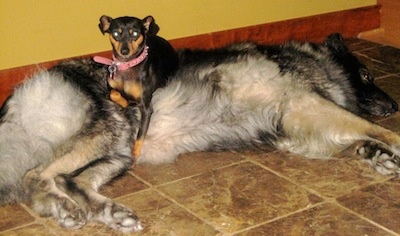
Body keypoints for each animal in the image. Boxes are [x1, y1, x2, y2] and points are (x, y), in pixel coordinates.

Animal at [0, 33, 398, 232]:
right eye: (366, 75)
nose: (395, 106)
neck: (314, 61)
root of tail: (20, 95)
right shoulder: (308, 104)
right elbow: (369, 126)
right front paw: (391, 143)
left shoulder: (298, 127)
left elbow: (358, 137)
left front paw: (377, 155)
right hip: (110, 130)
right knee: (38, 176)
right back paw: (69, 209)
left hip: (120, 150)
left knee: (69, 181)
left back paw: (106, 213)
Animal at [94, 15, 177, 158]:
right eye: (116, 34)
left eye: (135, 33)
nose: (124, 51)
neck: (127, 65)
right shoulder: (110, 87)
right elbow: (114, 93)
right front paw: (124, 102)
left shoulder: (146, 107)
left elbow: (141, 133)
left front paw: (135, 152)